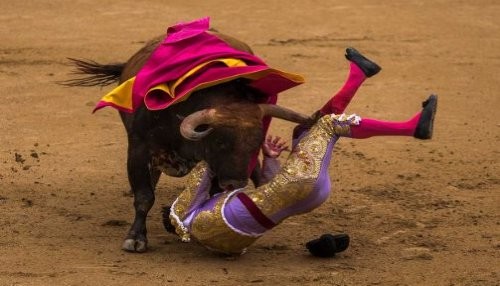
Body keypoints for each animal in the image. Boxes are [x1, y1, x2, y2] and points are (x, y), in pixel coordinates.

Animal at [62, 30, 312, 251]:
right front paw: (136, 238)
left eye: (256, 144)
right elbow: (144, 196)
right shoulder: (138, 149)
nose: (235, 184)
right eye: (219, 142)